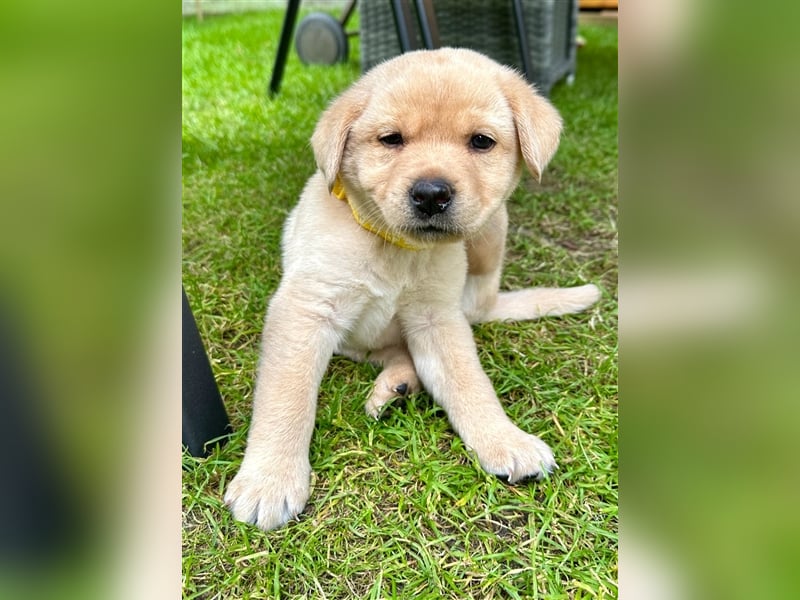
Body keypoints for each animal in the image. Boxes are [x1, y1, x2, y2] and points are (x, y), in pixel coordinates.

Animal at [225, 49, 600, 532]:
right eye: (391, 140)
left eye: (481, 142)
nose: (431, 194)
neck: (395, 248)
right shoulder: (307, 310)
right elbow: (287, 396)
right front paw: (269, 480)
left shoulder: (437, 318)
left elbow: (469, 382)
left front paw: (503, 439)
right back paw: (396, 386)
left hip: (490, 232)